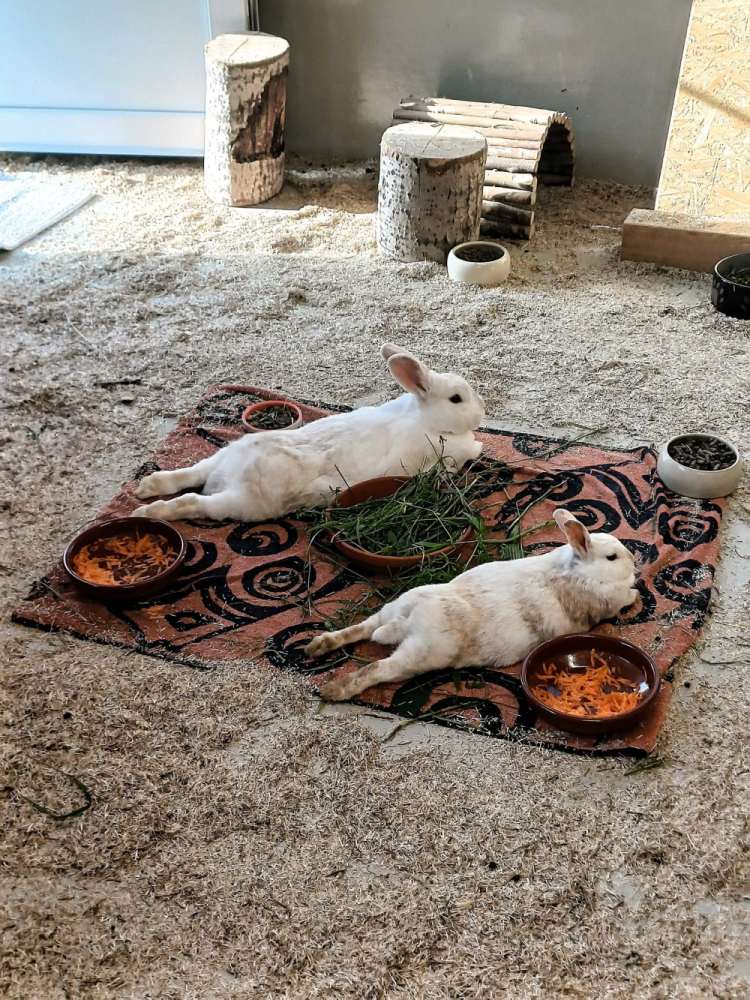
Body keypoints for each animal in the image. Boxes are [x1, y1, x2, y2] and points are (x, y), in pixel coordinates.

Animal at [132, 343, 485, 523]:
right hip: (242, 504)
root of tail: (226, 475)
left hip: (225, 453)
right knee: (192, 501)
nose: (482, 411)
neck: (424, 418)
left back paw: (146, 488)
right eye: (456, 399)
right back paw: (149, 512)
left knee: (189, 475)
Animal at [305, 508, 638, 702]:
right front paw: (635, 592)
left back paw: (318, 645)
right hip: (419, 655)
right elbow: (623, 599)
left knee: (362, 628)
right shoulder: (606, 602)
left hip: (395, 608)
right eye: (612, 557)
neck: (573, 570)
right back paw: (334, 690)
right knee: (377, 668)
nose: (635, 561)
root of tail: (408, 621)